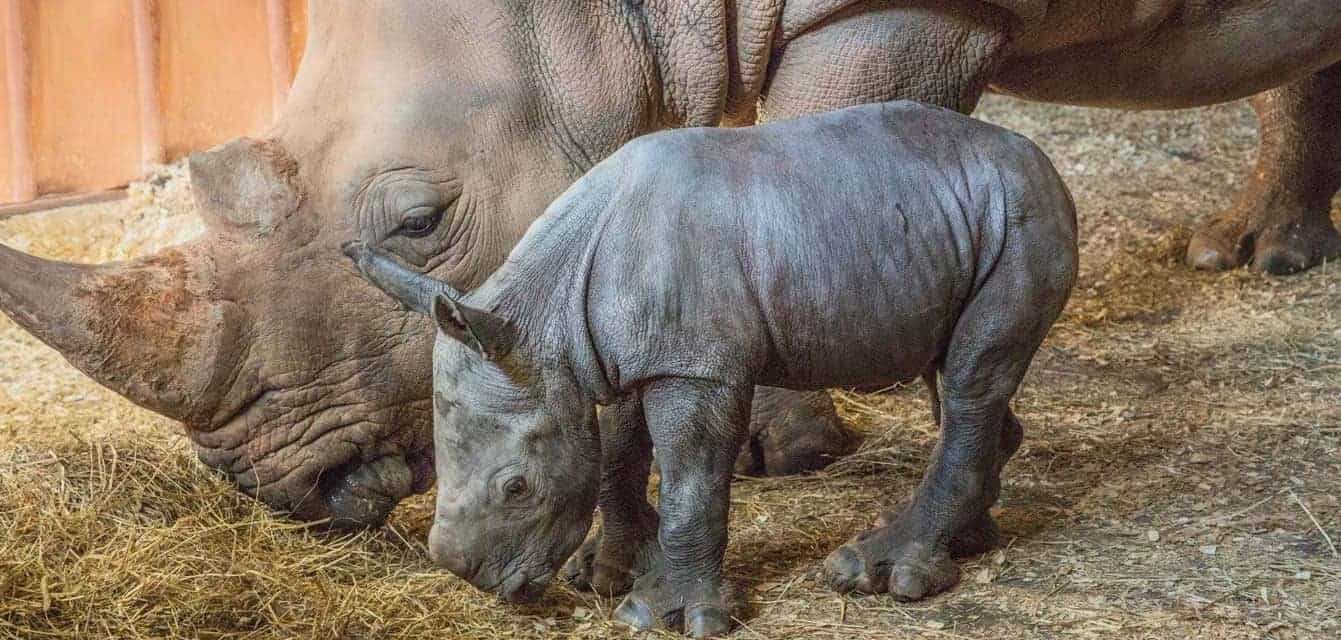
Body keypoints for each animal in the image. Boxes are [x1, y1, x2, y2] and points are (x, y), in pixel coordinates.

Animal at [345, 101, 1078, 633]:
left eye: (517, 488)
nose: (476, 579)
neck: (544, 320)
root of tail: (1039, 159)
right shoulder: (624, 354)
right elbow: (617, 453)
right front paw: (612, 573)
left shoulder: (696, 368)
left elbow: (691, 481)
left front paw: (663, 614)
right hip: (952, 225)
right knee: (953, 378)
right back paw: (969, 539)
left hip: (1021, 220)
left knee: (969, 383)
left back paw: (880, 572)